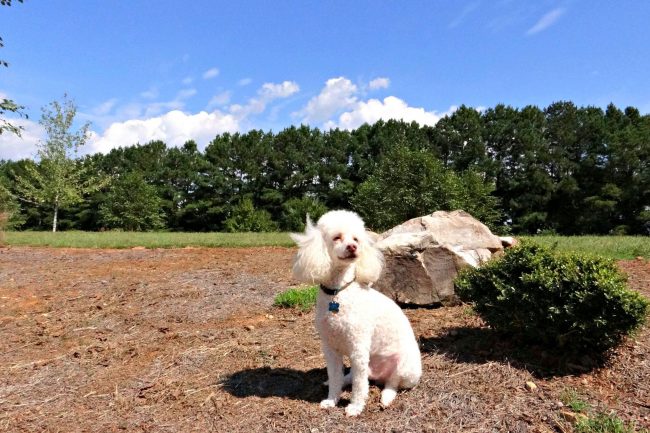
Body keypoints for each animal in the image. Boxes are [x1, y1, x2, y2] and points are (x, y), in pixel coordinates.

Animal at [292, 209, 422, 416]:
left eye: (356, 239)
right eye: (337, 237)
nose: (352, 247)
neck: (338, 292)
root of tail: (379, 376)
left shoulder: (358, 347)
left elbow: (360, 385)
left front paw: (355, 407)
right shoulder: (330, 348)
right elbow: (335, 376)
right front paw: (332, 399)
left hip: (405, 368)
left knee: (392, 383)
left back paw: (386, 397)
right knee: (351, 376)